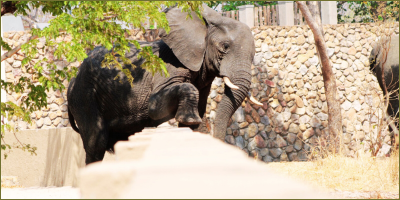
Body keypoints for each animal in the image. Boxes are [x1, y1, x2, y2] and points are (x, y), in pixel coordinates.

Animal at [67, 4, 260, 164]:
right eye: (225, 46)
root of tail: (72, 80)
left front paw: (190, 122)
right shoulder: (167, 67)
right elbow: (154, 107)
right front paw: (188, 119)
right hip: (85, 97)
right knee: (96, 145)